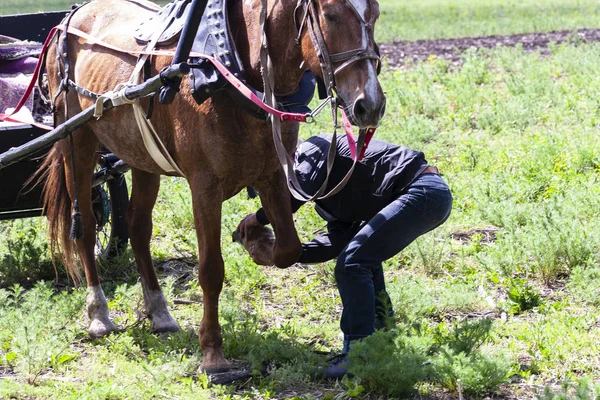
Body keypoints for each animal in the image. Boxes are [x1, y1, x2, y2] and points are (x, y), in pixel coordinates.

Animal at [38, 0, 384, 372]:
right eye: (331, 15)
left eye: (375, 15)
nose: (371, 105)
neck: (233, 72)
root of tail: (70, 17)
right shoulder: (204, 188)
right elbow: (210, 270)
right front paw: (213, 353)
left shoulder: (273, 175)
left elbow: (289, 249)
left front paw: (257, 243)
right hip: (77, 143)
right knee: (86, 227)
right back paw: (99, 314)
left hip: (144, 157)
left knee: (138, 228)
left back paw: (158, 311)